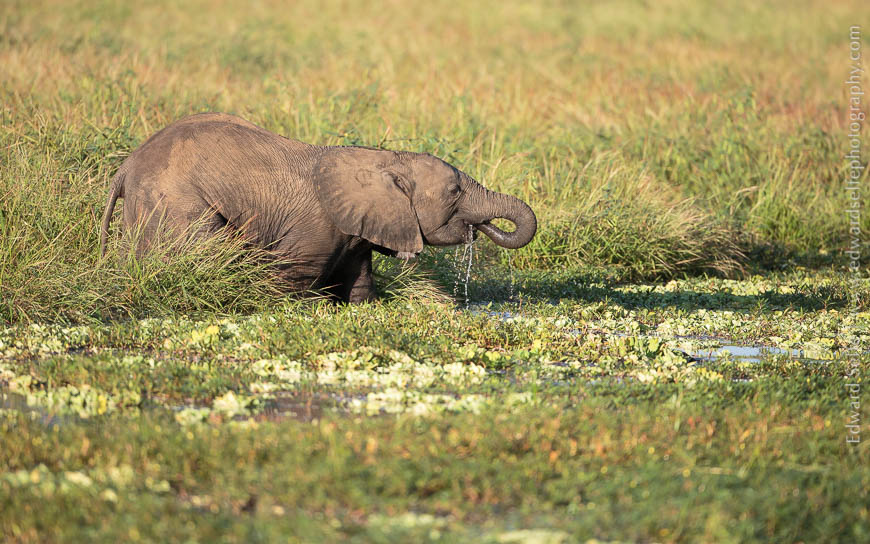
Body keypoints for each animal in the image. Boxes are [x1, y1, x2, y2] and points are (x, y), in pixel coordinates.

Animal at [100, 113, 537, 302]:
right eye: (454, 191)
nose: (481, 226)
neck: (381, 160)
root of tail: (124, 168)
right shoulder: (314, 229)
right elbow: (296, 281)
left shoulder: (357, 230)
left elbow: (358, 283)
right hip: (174, 202)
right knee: (207, 251)